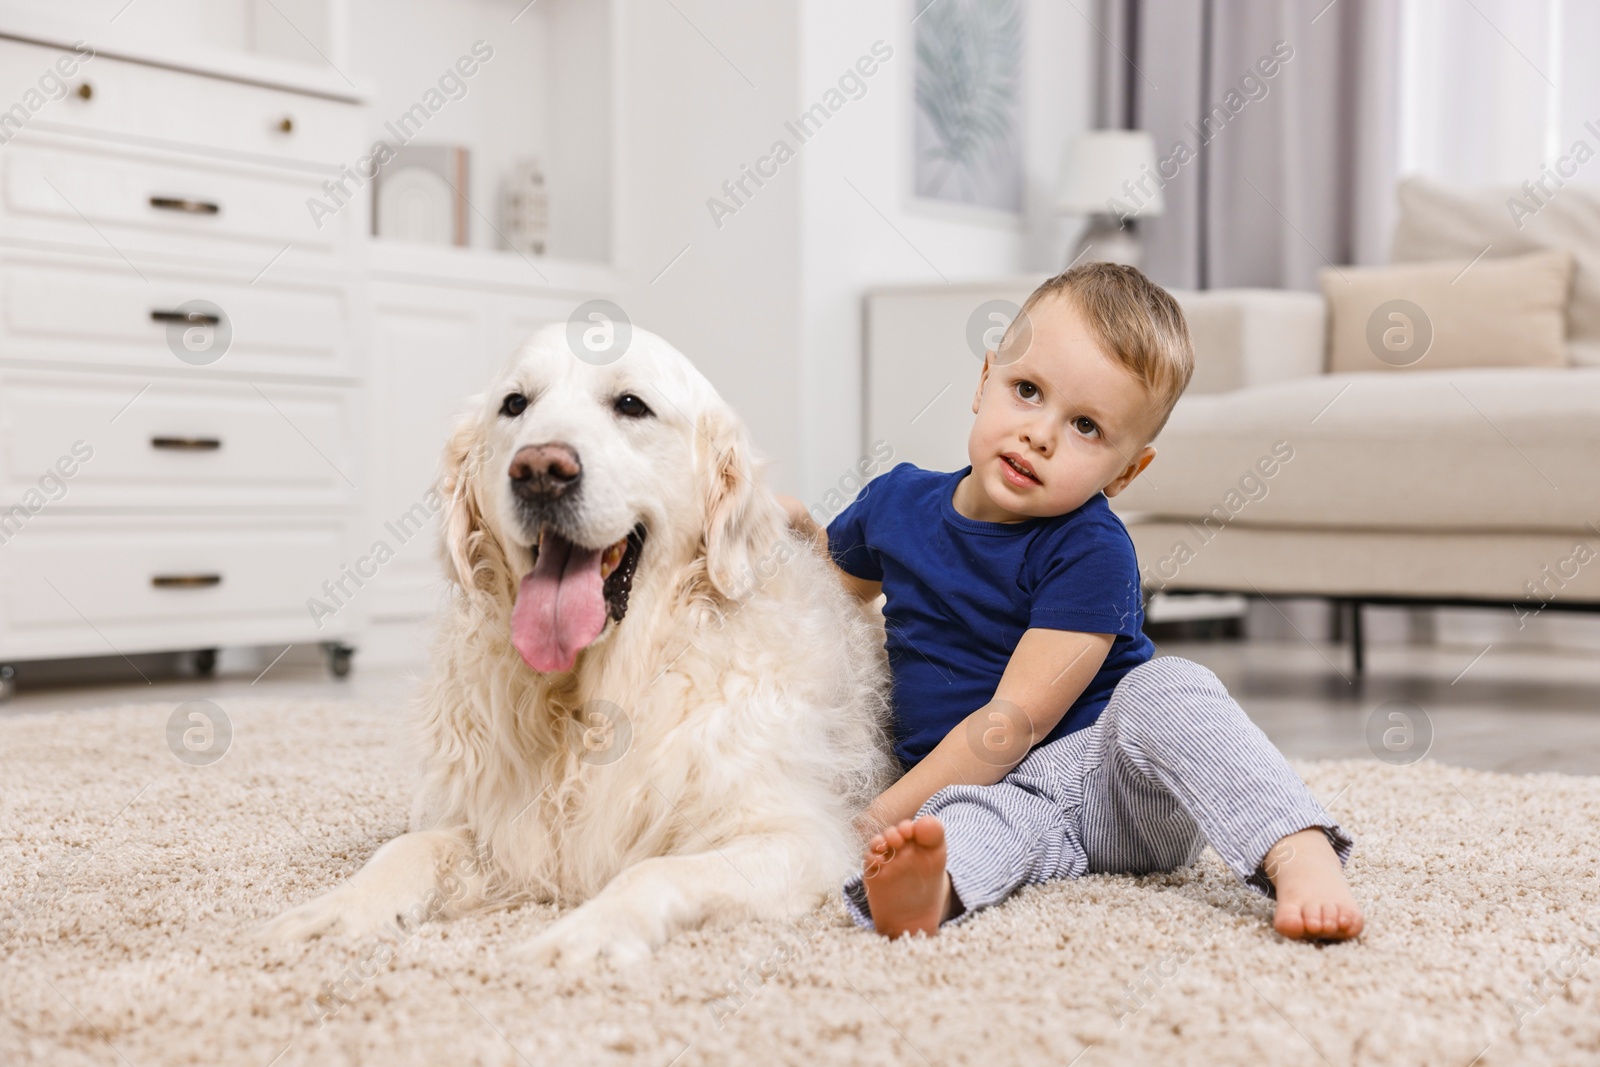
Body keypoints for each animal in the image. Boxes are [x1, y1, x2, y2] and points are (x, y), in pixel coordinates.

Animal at [256, 323, 896, 966]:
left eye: (631, 405)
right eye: (515, 405)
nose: (540, 469)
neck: (591, 700)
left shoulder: (798, 836)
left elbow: (653, 872)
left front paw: (582, 934)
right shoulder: (496, 828)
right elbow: (409, 849)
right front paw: (336, 909)